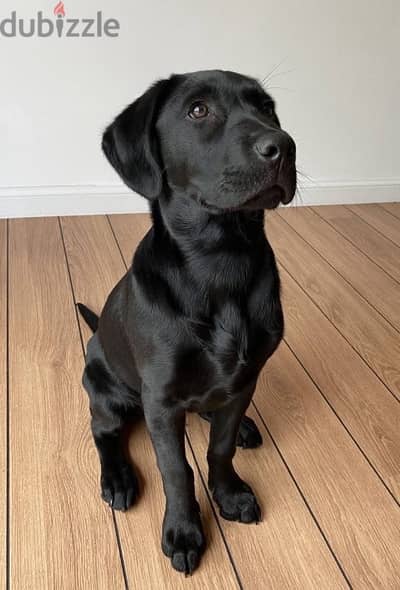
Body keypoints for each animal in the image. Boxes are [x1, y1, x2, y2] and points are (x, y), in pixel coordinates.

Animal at [78, 68, 296, 572]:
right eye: (199, 110)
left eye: (268, 108)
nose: (284, 146)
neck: (222, 262)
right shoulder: (160, 400)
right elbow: (175, 469)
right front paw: (183, 530)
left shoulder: (246, 378)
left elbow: (220, 445)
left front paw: (229, 493)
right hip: (106, 388)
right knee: (103, 431)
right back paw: (118, 478)